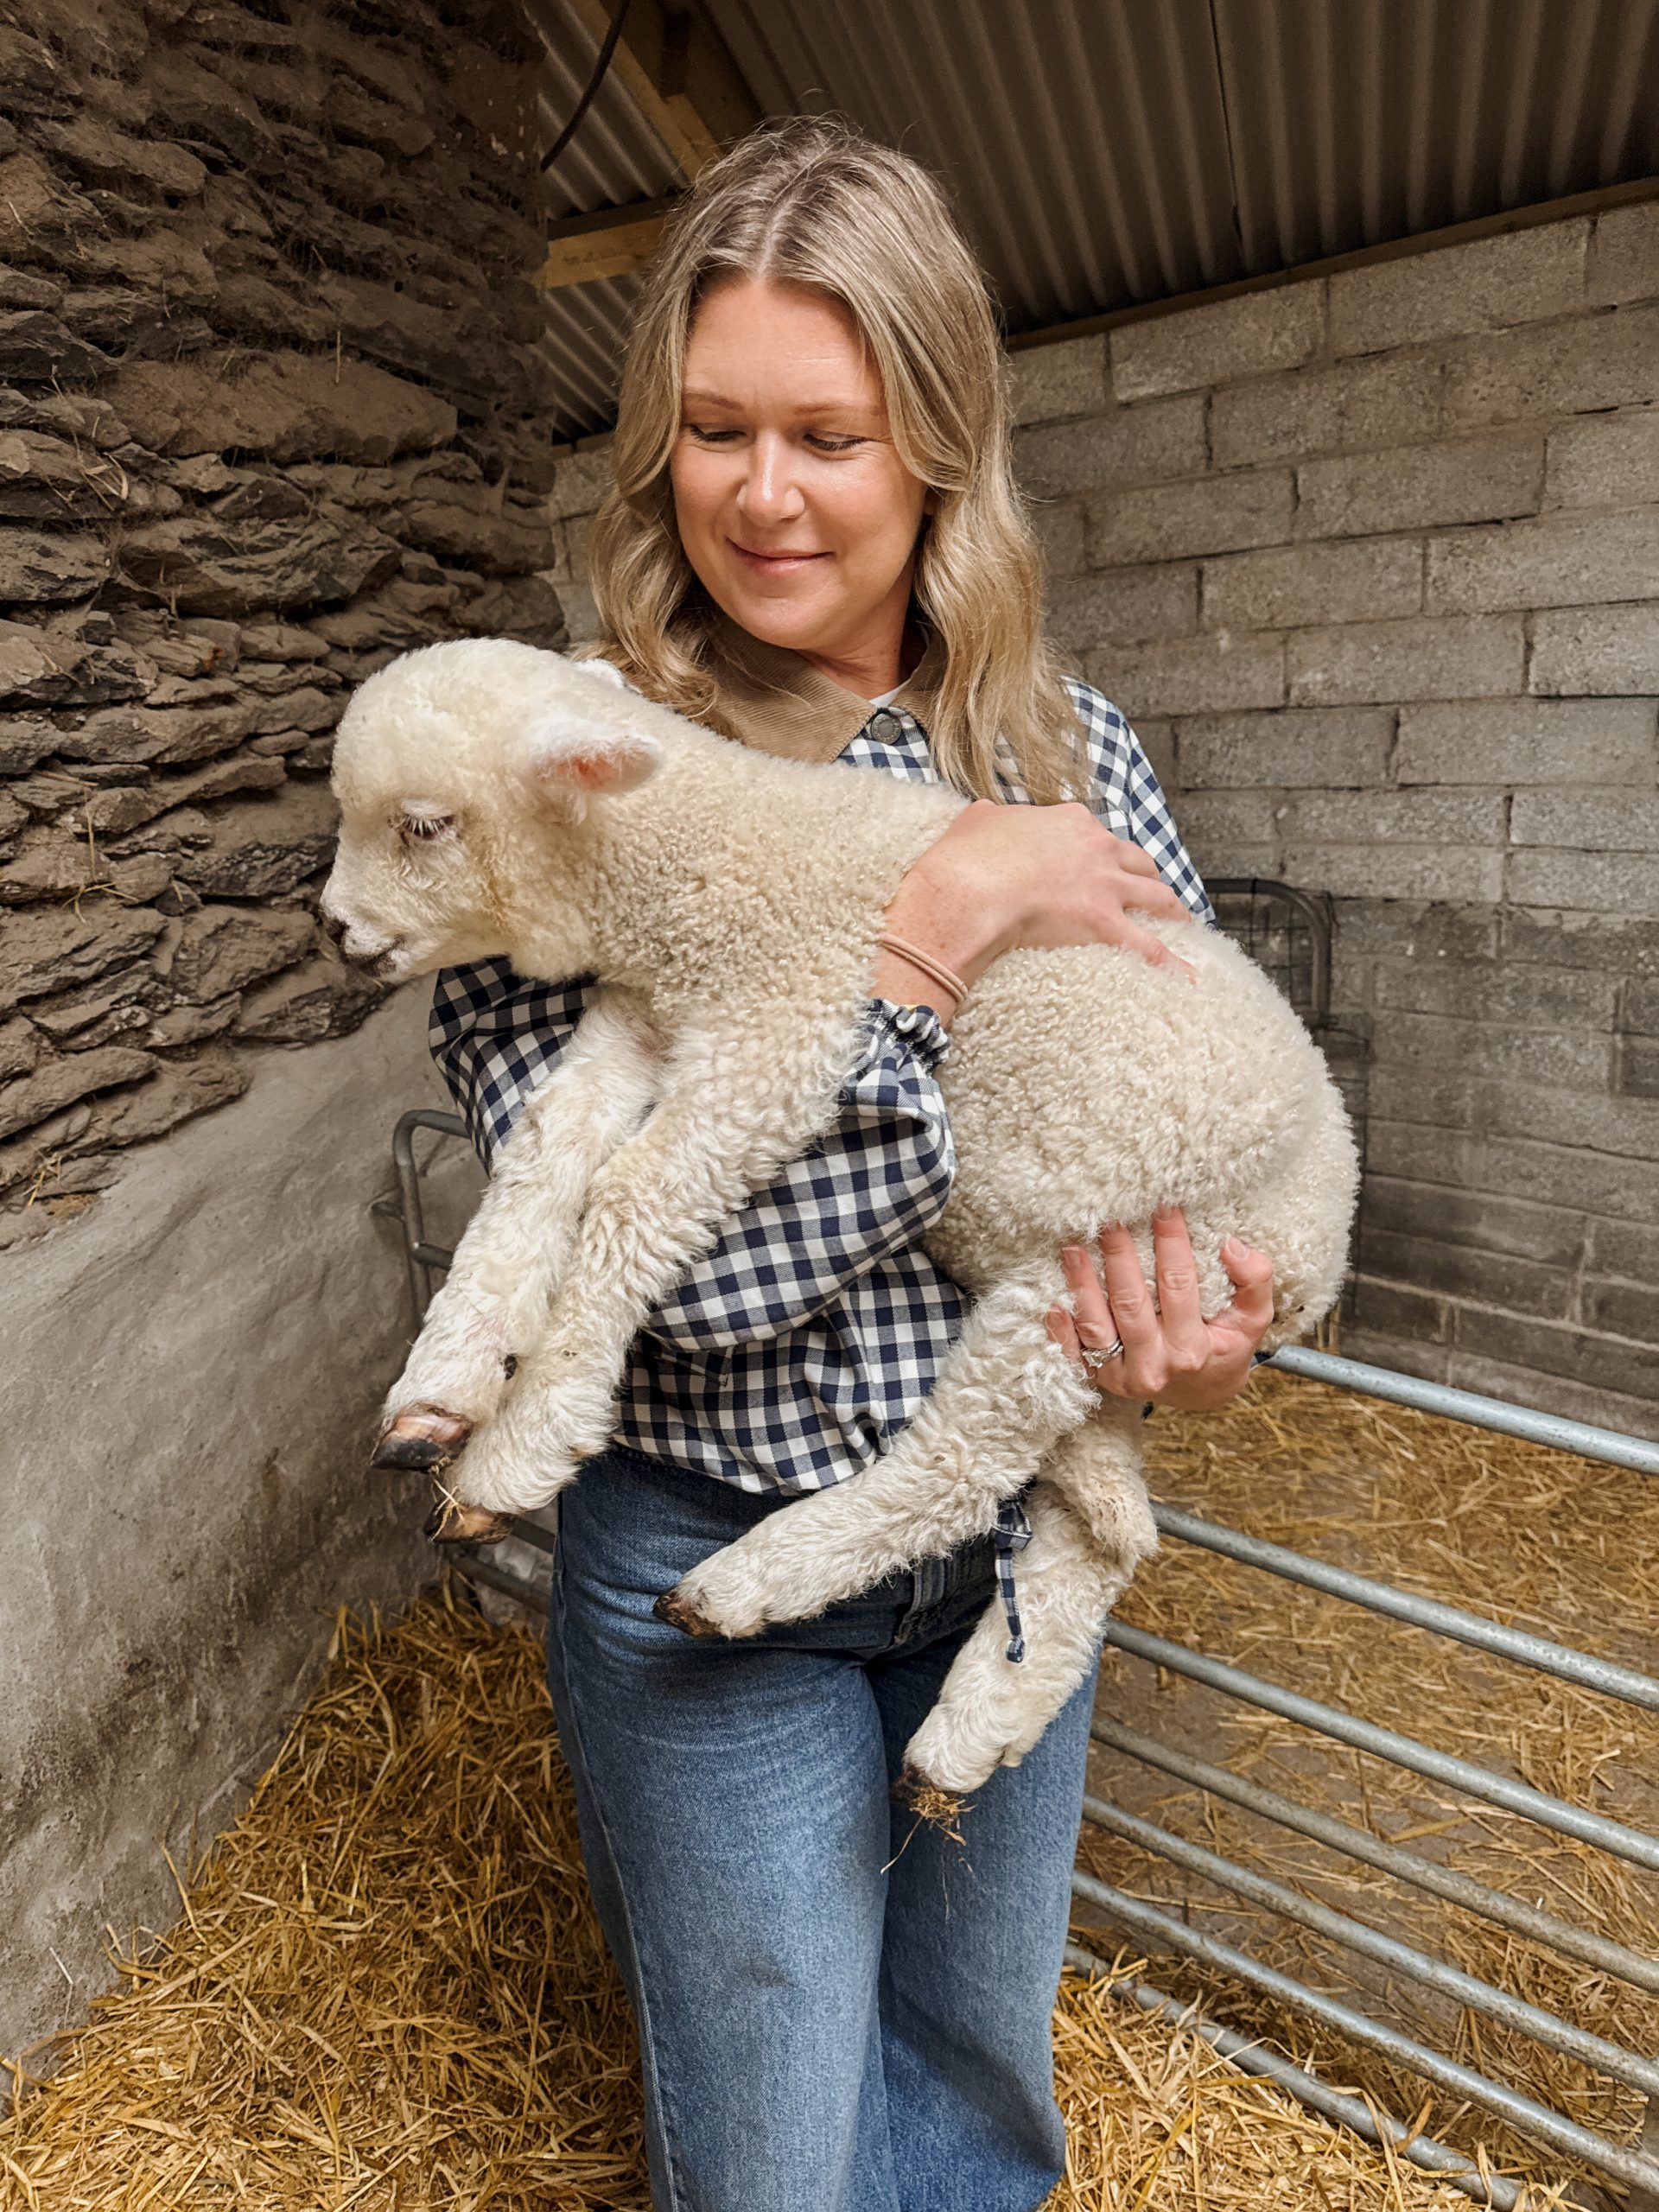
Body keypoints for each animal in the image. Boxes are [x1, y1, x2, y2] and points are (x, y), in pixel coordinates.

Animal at [321, 636, 1359, 1806]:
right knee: (1104, 1529)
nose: (335, 928)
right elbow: (546, 1145)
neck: (700, 862)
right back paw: (970, 1735)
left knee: (962, 1469)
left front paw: (527, 1438)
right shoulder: (648, 1020)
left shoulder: (784, 1035)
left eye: (423, 825)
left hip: (1113, 1266)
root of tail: (1331, 1230)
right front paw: (446, 1378)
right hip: (1110, 1315)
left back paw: (750, 1585)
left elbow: (635, 1194)